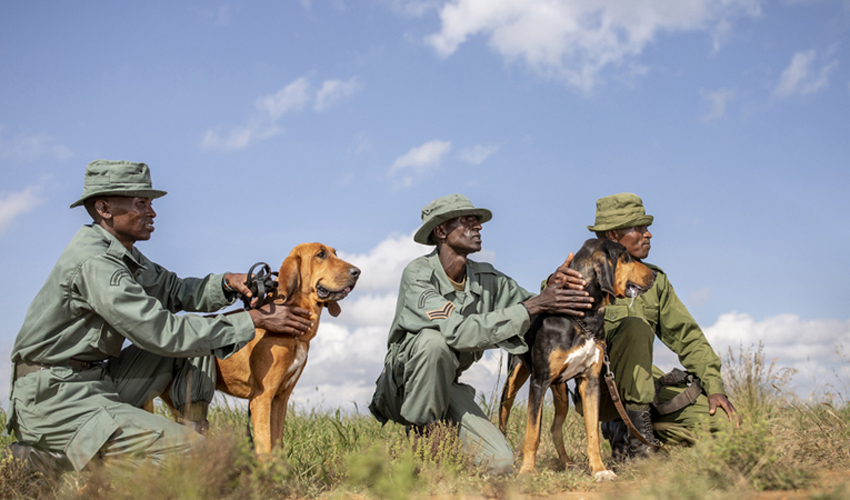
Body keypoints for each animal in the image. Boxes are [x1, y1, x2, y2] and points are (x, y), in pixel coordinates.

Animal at [496, 239, 656, 480]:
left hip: (561, 392)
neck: (584, 319)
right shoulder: (539, 382)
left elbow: (593, 434)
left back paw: (567, 462)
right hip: (513, 381)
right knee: (503, 421)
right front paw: (527, 471)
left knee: (555, 429)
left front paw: (599, 470)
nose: (654, 274)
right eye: (625, 256)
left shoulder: (590, 382)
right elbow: (532, 434)